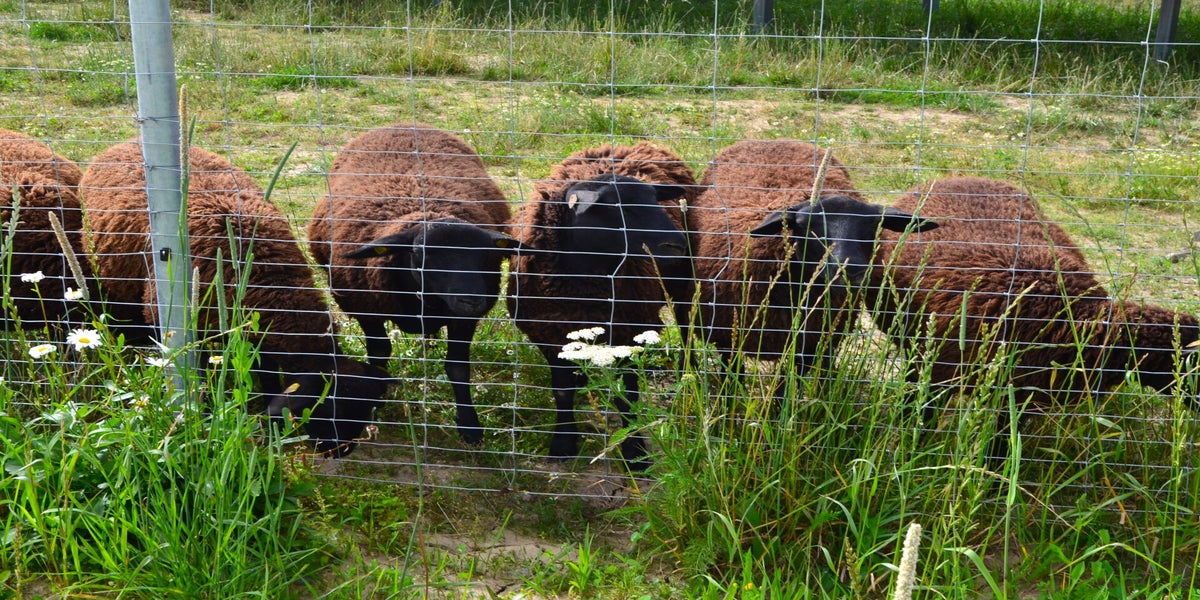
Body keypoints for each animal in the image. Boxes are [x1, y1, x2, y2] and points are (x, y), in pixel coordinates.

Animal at [80, 140, 389, 456]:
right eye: (323, 408)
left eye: (363, 410)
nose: (340, 451)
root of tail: (125, 143)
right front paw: (203, 415)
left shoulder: (260, 334)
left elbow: (267, 372)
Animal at [307, 123, 523, 445]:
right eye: (422, 254)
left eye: (486, 255)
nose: (473, 300)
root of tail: (400, 124)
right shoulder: (366, 308)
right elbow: (379, 352)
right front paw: (377, 400)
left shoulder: (464, 319)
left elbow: (458, 367)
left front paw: (469, 424)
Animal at [506, 141, 701, 468]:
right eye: (616, 208)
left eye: (654, 201)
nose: (677, 244)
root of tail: (634, 144)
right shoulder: (552, 335)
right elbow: (562, 391)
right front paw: (563, 443)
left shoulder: (627, 332)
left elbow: (627, 398)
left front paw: (635, 452)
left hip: (683, 281)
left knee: (685, 326)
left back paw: (691, 375)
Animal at [679, 140, 936, 385]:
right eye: (805, 225)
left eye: (874, 226)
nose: (849, 270)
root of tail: (773, 140)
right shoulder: (728, 338)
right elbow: (733, 382)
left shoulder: (807, 346)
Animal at [865, 176, 1200, 449]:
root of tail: (956, 176)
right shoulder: (936, 369)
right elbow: (920, 417)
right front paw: (911, 452)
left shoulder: (1022, 393)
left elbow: (1005, 442)